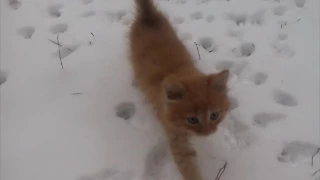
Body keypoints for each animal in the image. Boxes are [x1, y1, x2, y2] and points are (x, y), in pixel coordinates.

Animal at [127, 0, 230, 179]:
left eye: (214, 115)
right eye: (192, 119)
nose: (207, 133)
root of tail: (148, 15)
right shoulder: (176, 139)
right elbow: (188, 167)